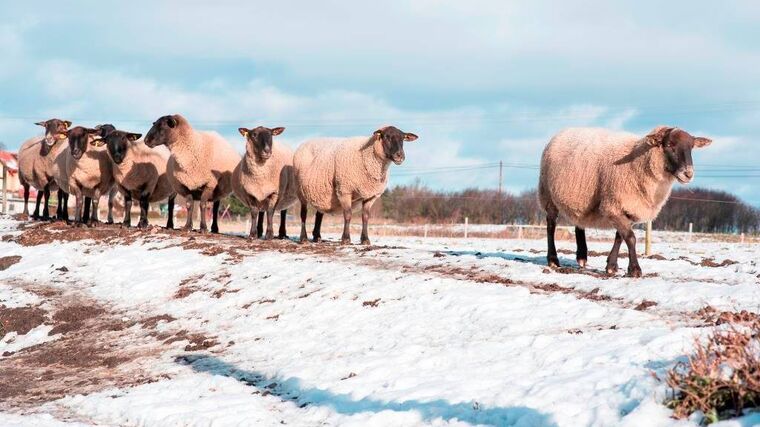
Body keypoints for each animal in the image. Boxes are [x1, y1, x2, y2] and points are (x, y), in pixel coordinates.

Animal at [292, 126, 422, 244]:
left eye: (403, 138)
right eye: (386, 137)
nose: (400, 156)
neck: (368, 157)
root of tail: (305, 143)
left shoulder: (370, 196)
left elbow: (365, 217)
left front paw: (365, 239)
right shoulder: (344, 190)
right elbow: (348, 215)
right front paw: (346, 239)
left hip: (322, 192)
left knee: (319, 214)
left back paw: (317, 237)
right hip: (300, 190)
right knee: (303, 214)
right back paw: (303, 238)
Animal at [536, 125, 708, 278]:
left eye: (691, 147)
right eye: (669, 145)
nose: (688, 174)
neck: (638, 164)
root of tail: (561, 132)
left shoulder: (626, 207)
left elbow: (620, 236)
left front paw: (611, 266)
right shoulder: (613, 206)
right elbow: (631, 238)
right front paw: (635, 270)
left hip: (580, 197)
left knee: (579, 223)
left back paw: (582, 257)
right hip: (548, 195)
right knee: (551, 226)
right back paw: (553, 260)